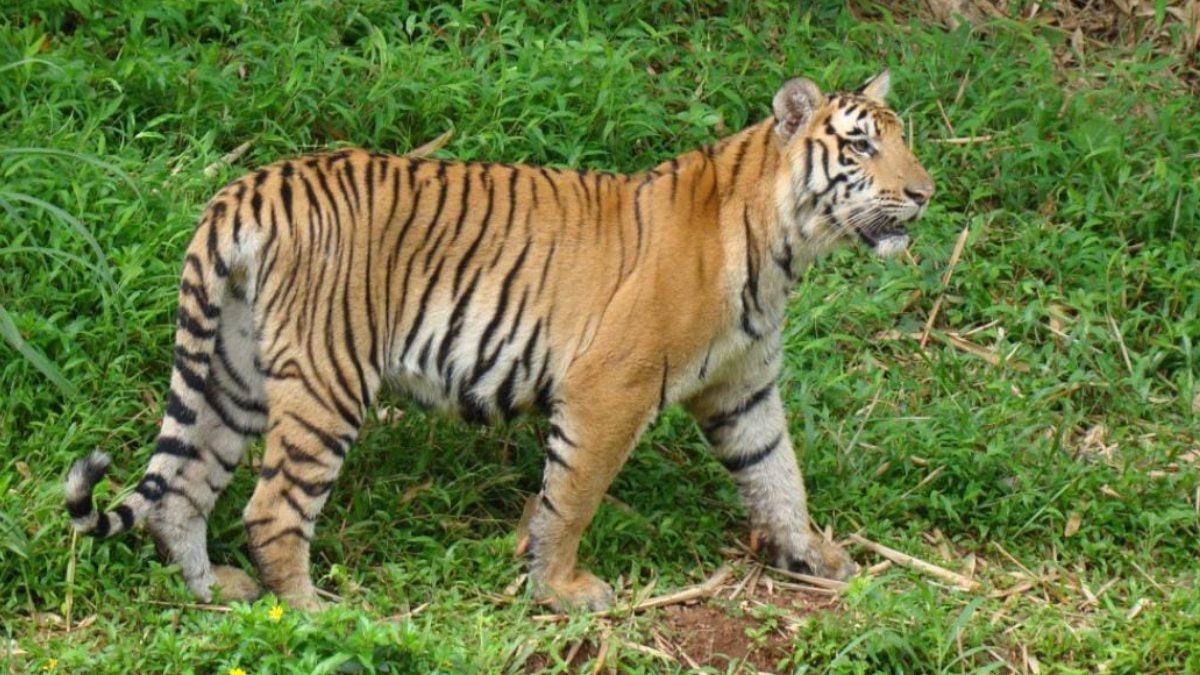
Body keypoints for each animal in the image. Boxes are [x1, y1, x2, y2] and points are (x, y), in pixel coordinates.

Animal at [65, 70, 933, 611]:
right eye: (860, 145)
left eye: (905, 141)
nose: (925, 193)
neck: (786, 246)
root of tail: (247, 187)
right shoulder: (609, 389)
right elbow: (572, 496)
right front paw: (561, 588)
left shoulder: (743, 389)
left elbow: (778, 475)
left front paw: (812, 555)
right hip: (326, 378)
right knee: (272, 506)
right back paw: (318, 610)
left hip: (235, 369)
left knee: (182, 489)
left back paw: (218, 592)